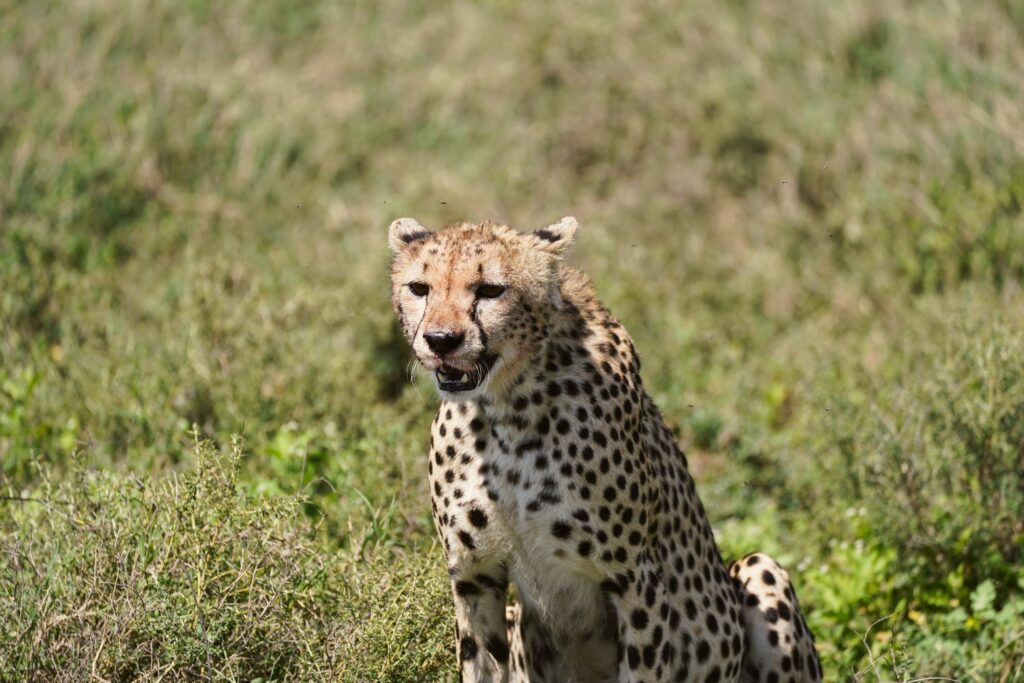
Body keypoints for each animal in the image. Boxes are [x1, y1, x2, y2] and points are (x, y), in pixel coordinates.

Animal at [388, 216, 822, 683]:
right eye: (419, 288)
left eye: (490, 290)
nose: (440, 340)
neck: (507, 405)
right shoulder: (475, 577)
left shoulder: (636, 581)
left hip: (760, 569)